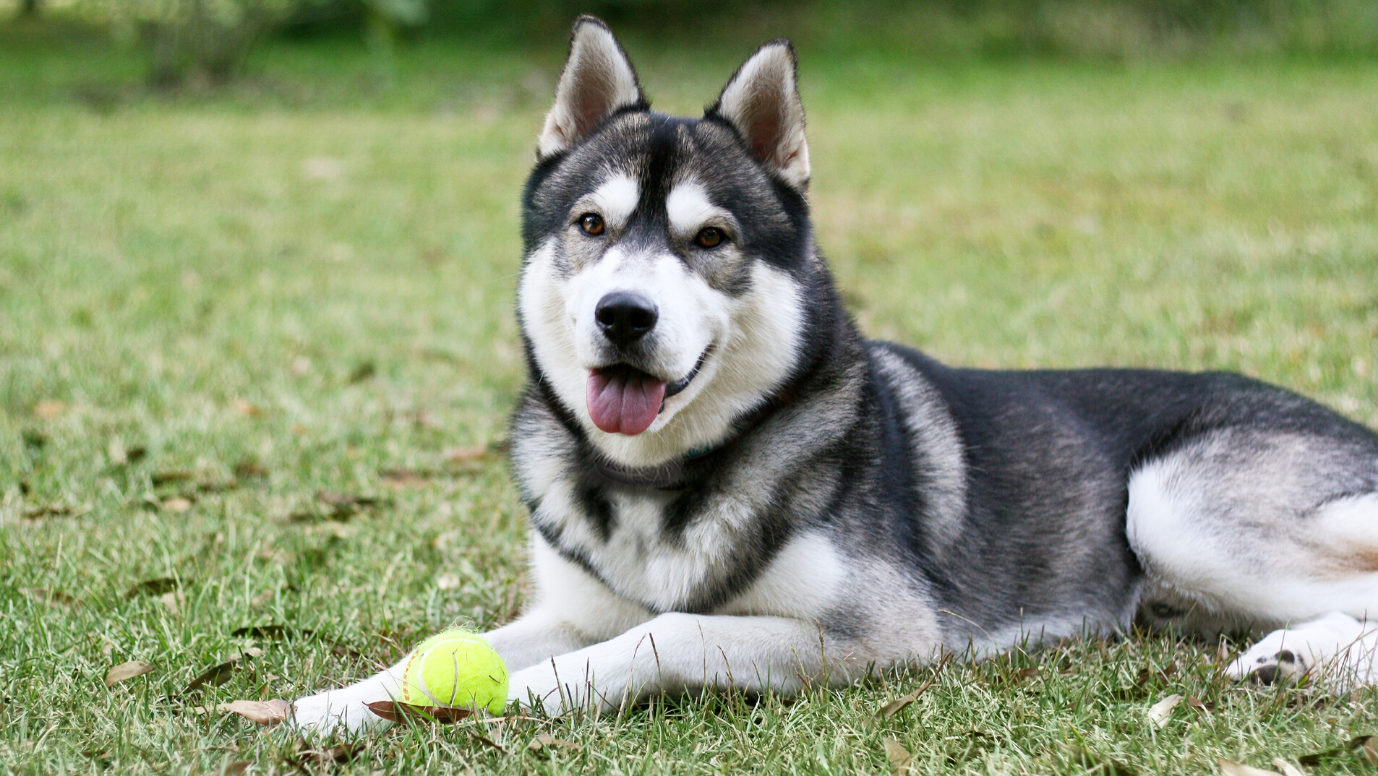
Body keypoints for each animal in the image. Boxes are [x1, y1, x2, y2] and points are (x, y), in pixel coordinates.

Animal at [290, 16, 1378, 733]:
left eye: (711, 238)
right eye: (591, 225)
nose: (623, 315)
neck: (661, 481)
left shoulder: (881, 632)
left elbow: (666, 632)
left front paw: (524, 694)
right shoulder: (568, 608)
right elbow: (435, 648)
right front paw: (335, 703)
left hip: (1168, 504)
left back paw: (1298, 659)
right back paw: (1288, 656)